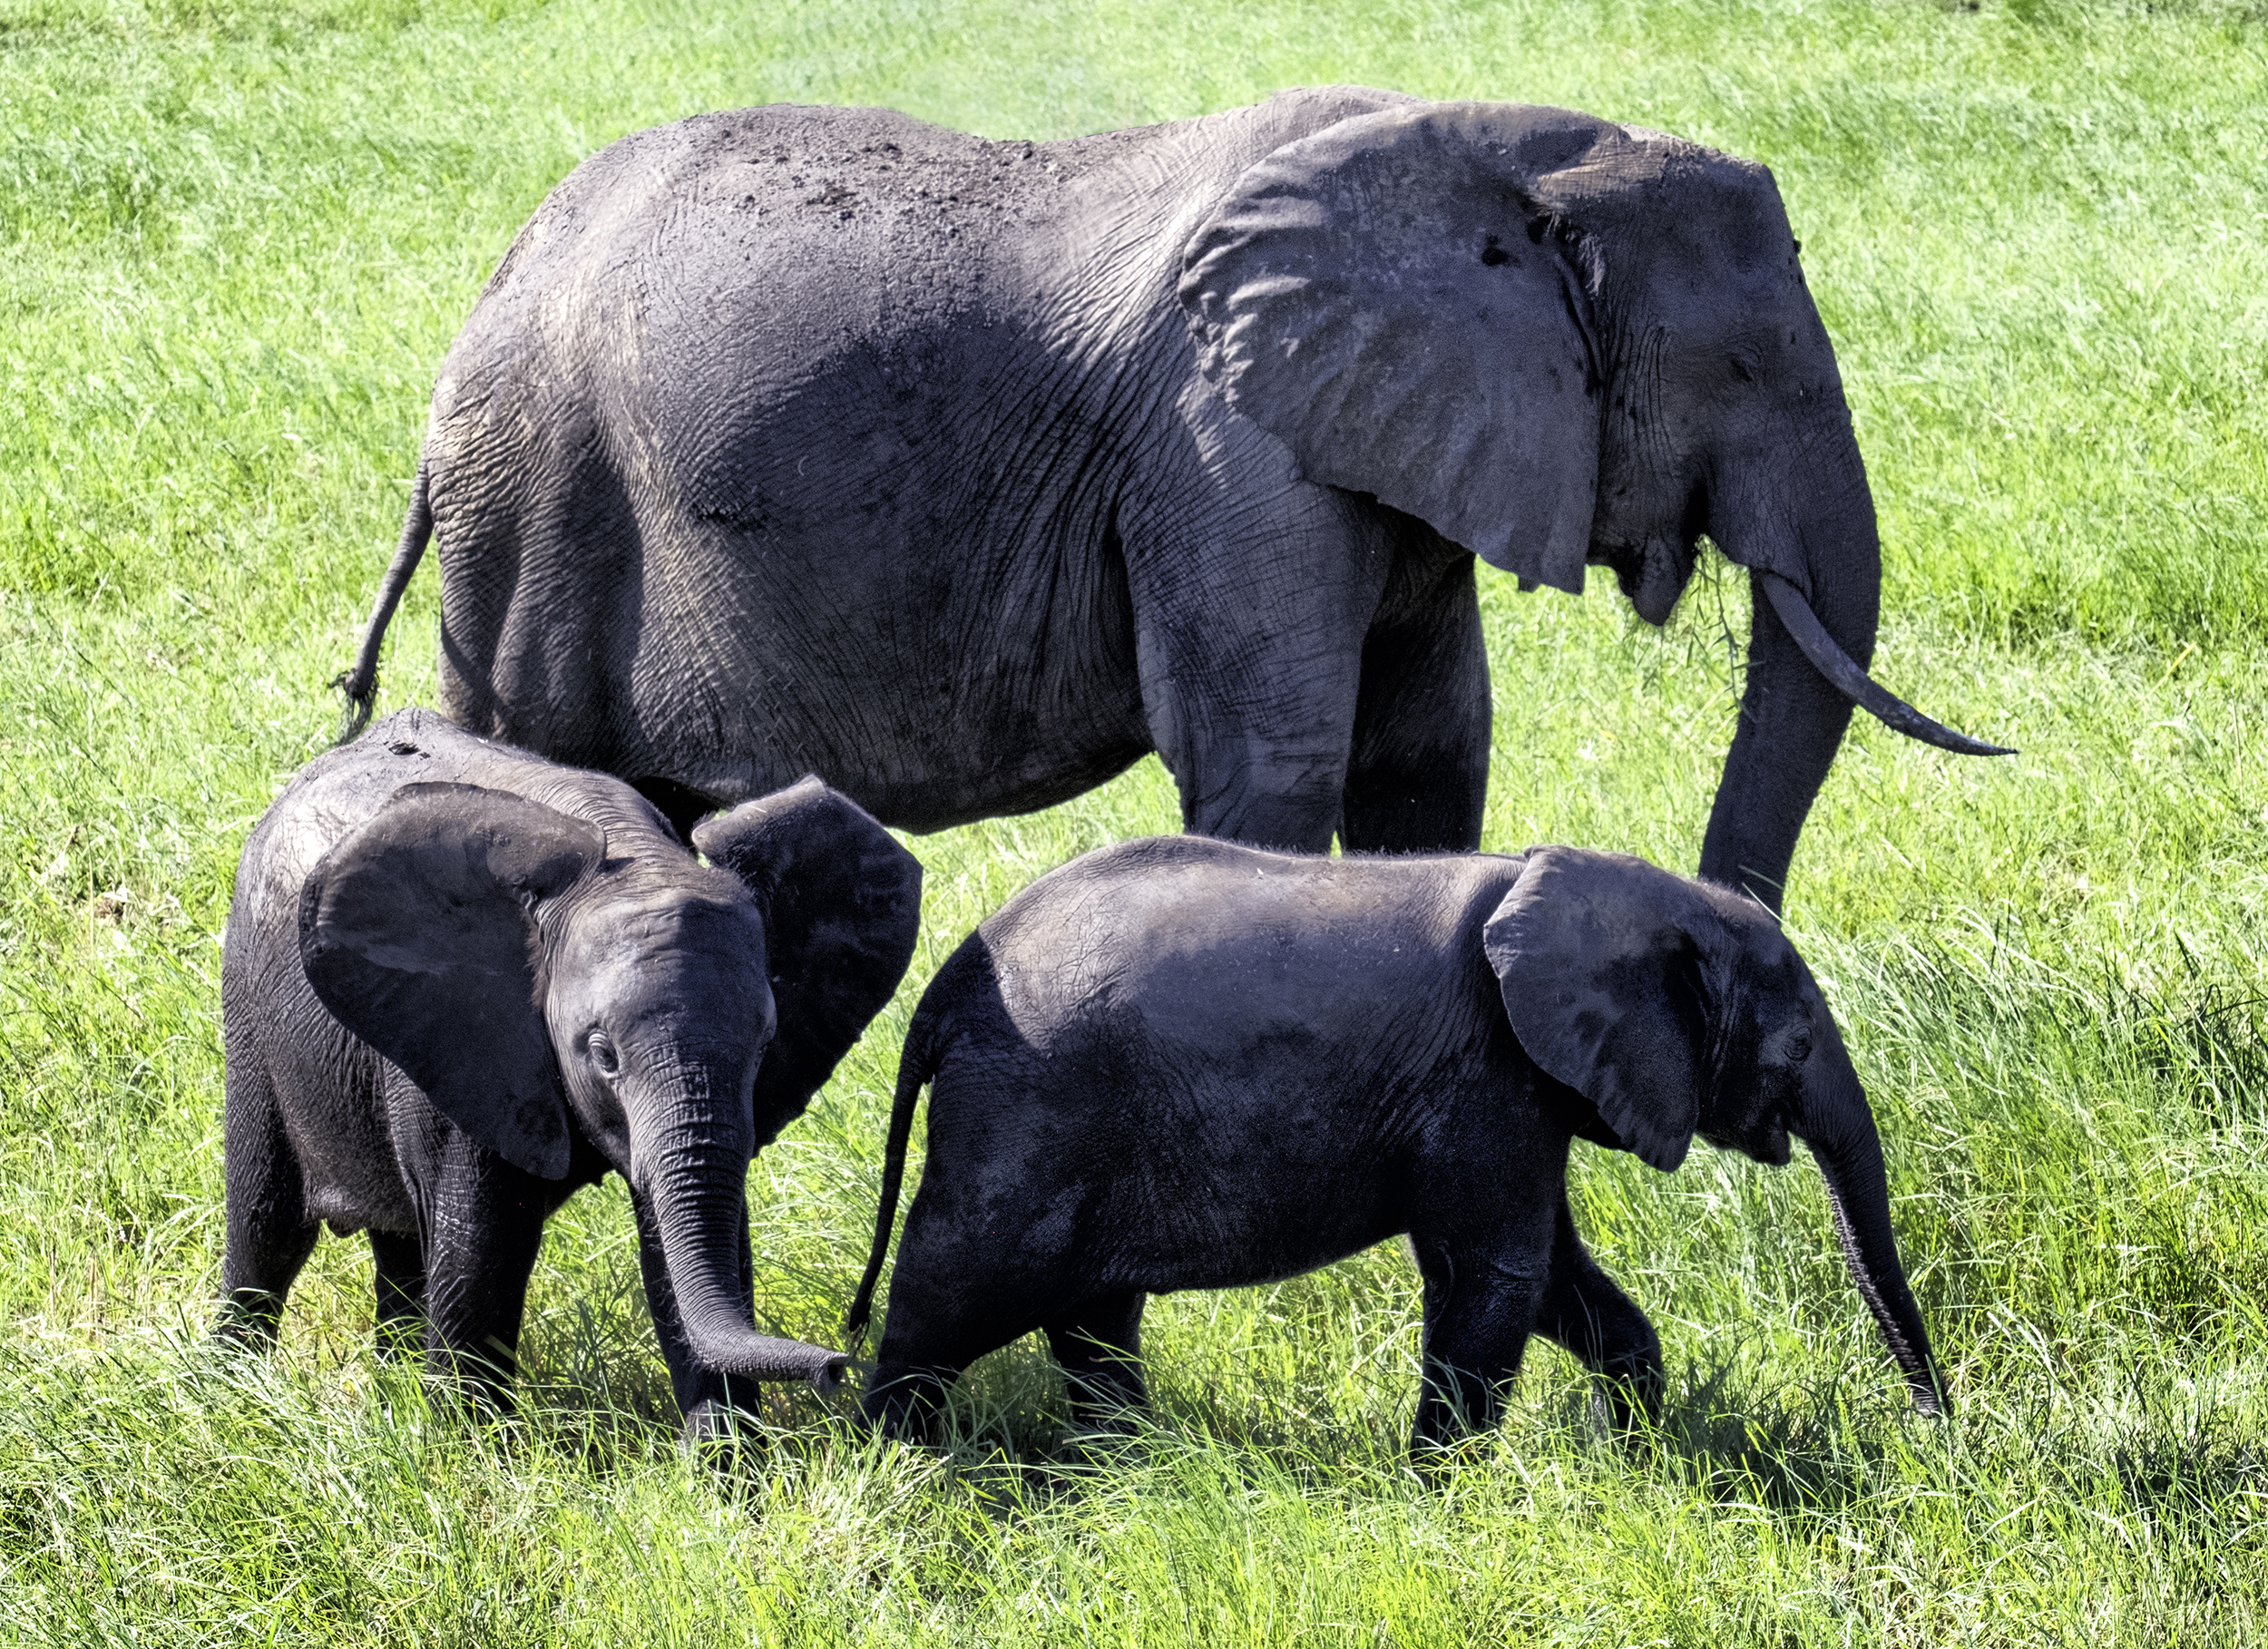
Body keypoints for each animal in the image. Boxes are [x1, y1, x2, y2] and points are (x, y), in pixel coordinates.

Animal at [214, 712, 921, 1442]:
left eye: (764, 1047)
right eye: (603, 1054)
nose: (838, 1360)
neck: (632, 859)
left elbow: (684, 1251)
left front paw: (728, 1468)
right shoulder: (473, 1037)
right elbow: (480, 1256)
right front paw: (473, 1454)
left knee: (398, 1246)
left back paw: (389, 1386)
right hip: (250, 1009)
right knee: (267, 1228)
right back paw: (230, 1394)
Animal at [336, 88, 2005, 907]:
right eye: (1744, 367)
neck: (1521, 152)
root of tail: (491, 291)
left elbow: (1425, 752)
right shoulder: (1224, 437)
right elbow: (1274, 756)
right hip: (539, 502)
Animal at [853, 839, 1950, 1460]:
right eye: (1797, 1044)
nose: (1939, 1439)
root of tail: (943, 990)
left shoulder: (1521, 1085)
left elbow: (1552, 1274)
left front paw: (1642, 1454)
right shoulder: (1487, 1070)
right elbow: (1500, 1274)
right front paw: (1439, 1497)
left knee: (1093, 1316)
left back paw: (1127, 1467)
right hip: (1025, 1112)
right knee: (952, 1293)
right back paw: (902, 1467)